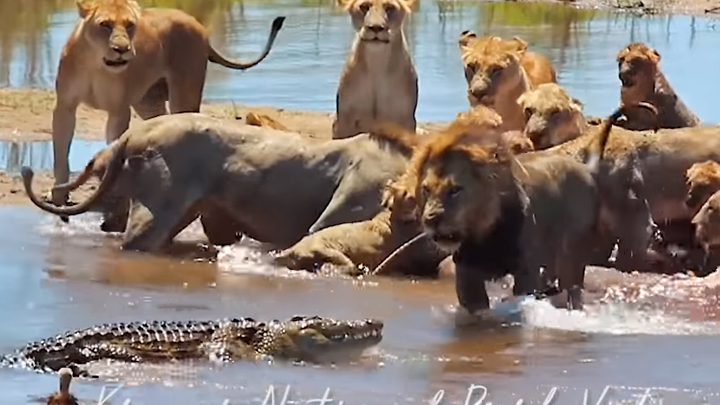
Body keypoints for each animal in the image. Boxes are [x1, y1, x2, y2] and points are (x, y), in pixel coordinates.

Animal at [50, 0, 286, 205]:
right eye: (104, 25)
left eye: (130, 25)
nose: (122, 49)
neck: (95, 64)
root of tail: (198, 25)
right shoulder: (65, 106)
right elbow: (60, 152)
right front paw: (59, 194)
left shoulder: (118, 111)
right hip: (147, 102)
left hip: (184, 93)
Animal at [330, 0, 416, 139]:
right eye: (364, 6)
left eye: (390, 8)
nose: (375, 27)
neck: (377, 62)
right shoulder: (343, 119)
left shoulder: (406, 119)